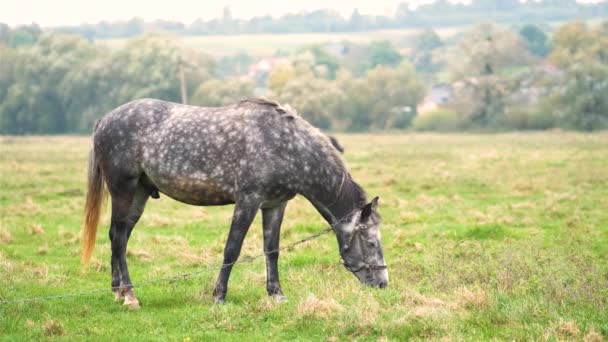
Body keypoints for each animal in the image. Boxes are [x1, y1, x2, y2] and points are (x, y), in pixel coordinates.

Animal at [82, 97, 390, 308]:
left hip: (139, 194)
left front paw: (277, 294)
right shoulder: (248, 201)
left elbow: (272, 250)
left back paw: (118, 290)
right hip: (123, 190)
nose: (383, 284)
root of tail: (104, 119)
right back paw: (130, 296)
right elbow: (232, 249)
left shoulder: (274, 205)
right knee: (119, 238)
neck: (286, 146)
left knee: (119, 236)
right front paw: (219, 297)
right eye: (371, 242)